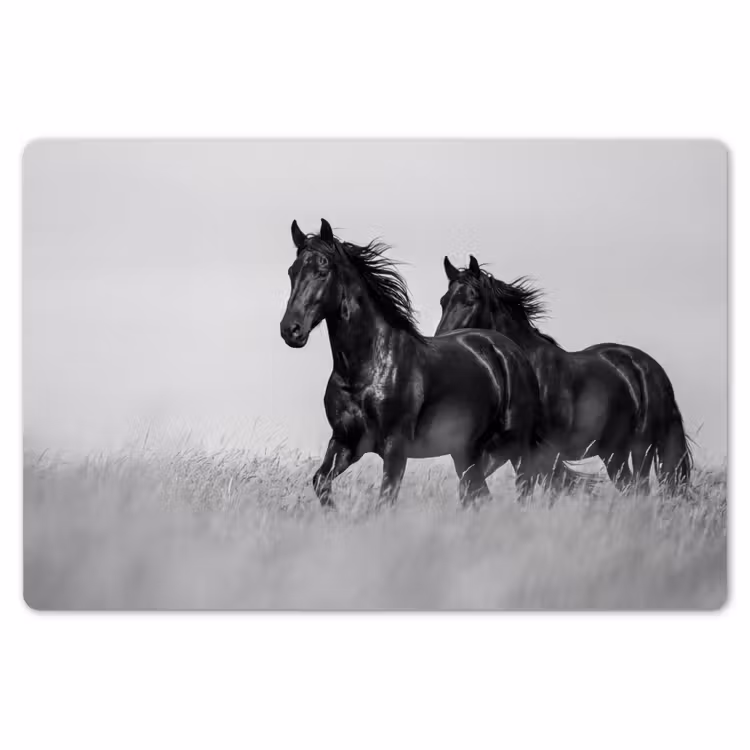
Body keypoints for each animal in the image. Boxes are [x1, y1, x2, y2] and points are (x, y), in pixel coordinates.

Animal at [280, 219, 552, 510]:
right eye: (292, 272)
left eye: (322, 270)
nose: (291, 330)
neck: (365, 369)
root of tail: (511, 351)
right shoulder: (345, 441)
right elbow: (320, 482)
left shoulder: (395, 447)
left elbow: (385, 500)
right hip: (467, 452)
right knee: (476, 493)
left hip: (516, 447)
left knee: (521, 490)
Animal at [435, 255, 693, 493]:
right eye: (443, 301)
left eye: (472, 300)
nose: (443, 342)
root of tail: (650, 368)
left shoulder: (538, 452)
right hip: (613, 452)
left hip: (642, 448)